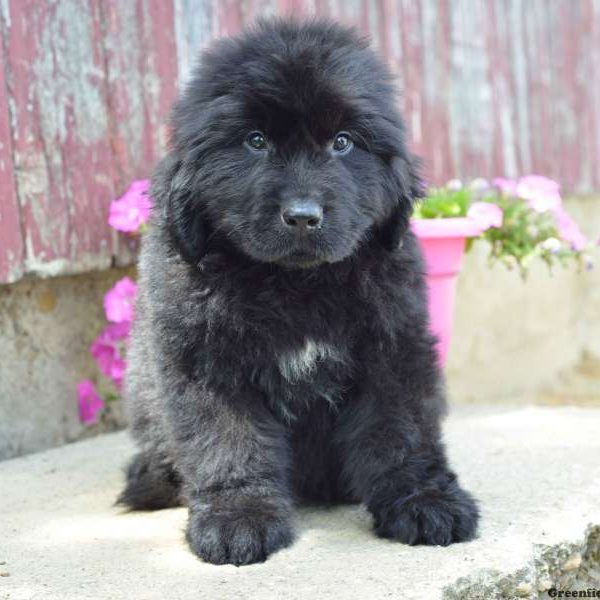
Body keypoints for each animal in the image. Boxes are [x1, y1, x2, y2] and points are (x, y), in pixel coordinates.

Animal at [119, 17, 480, 564]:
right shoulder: (203, 359)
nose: (304, 216)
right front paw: (238, 519)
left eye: (343, 142)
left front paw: (426, 500)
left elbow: (403, 429)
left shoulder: (394, 344)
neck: (297, 283)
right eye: (255, 140)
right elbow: (227, 439)